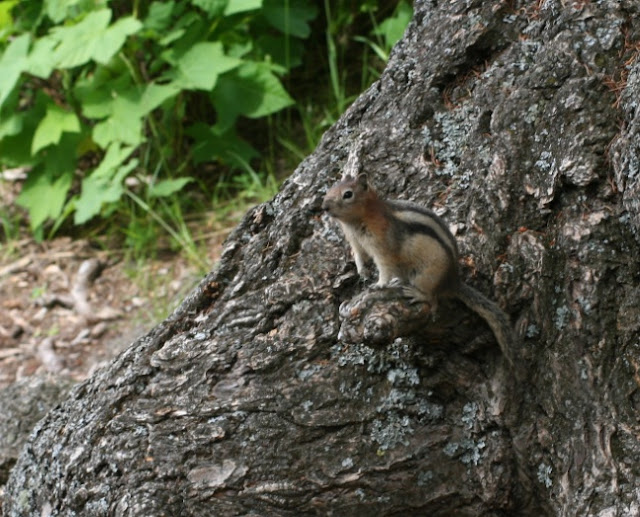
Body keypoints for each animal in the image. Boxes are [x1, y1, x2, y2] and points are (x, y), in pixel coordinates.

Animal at [322, 173, 512, 358]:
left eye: (348, 194)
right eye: (331, 188)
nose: (324, 207)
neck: (356, 221)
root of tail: (453, 281)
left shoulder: (383, 248)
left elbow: (385, 267)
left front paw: (379, 284)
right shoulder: (356, 243)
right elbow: (359, 257)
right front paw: (362, 272)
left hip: (425, 276)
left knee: (433, 300)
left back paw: (417, 294)